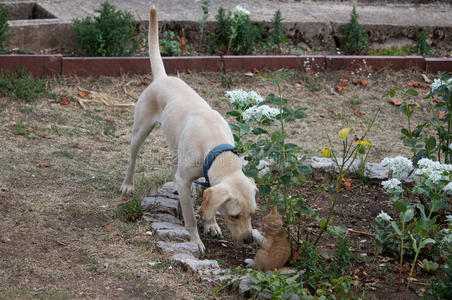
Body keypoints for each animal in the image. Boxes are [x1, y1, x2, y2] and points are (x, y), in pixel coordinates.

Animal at [121, 7, 258, 252]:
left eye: (252, 214)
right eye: (234, 216)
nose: (249, 240)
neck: (214, 145)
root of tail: (163, 78)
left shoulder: (206, 178)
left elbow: (206, 201)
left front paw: (211, 224)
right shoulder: (186, 180)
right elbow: (190, 216)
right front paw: (195, 240)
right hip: (140, 131)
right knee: (133, 157)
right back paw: (128, 184)